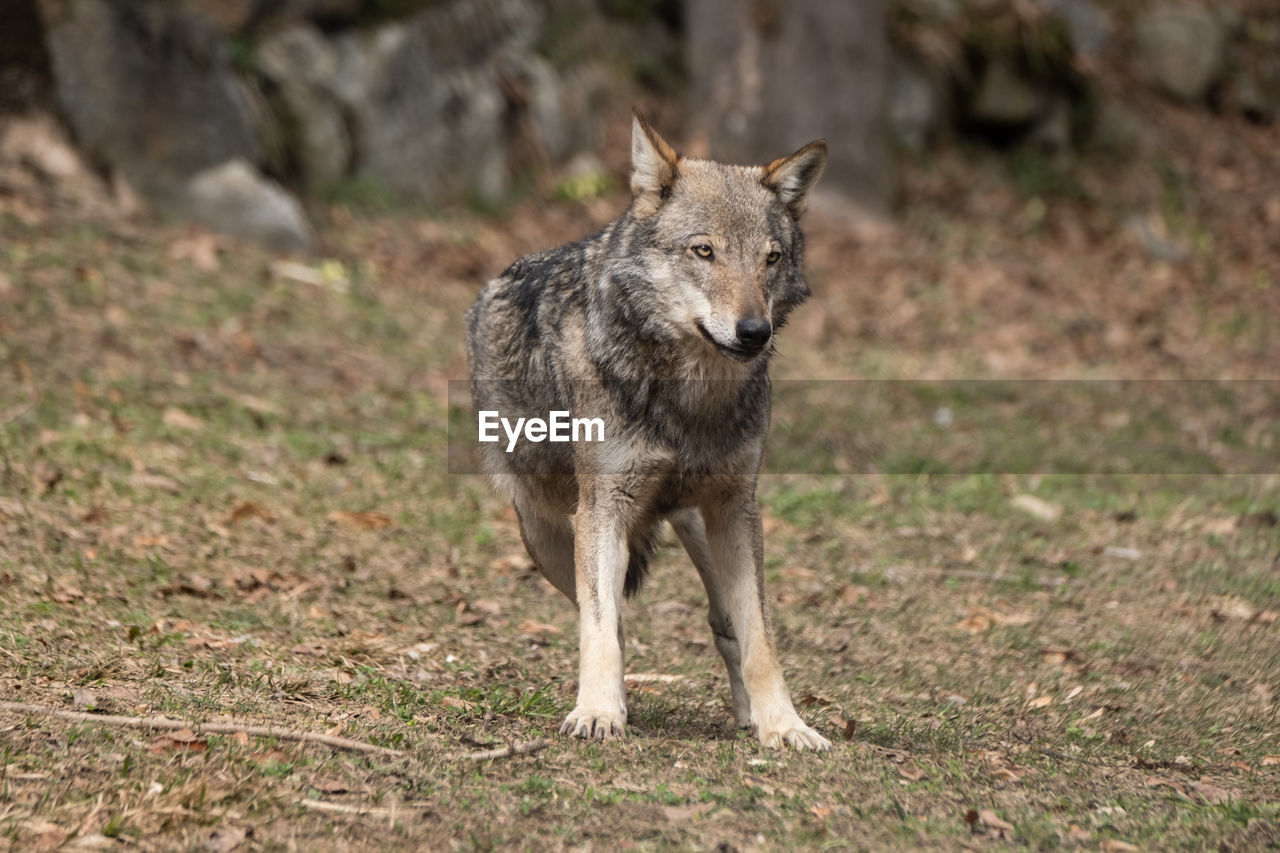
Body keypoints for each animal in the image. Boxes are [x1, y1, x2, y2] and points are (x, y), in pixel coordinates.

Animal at [465, 109, 834, 747]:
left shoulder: (737, 507)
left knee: (723, 623)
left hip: (700, 525)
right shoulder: (601, 512)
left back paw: (745, 715)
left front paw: (785, 725)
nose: (754, 332)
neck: (689, 400)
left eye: (771, 258)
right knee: (605, 619)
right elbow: (601, 629)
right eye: (704, 251)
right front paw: (597, 713)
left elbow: (760, 638)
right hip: (547, 532)